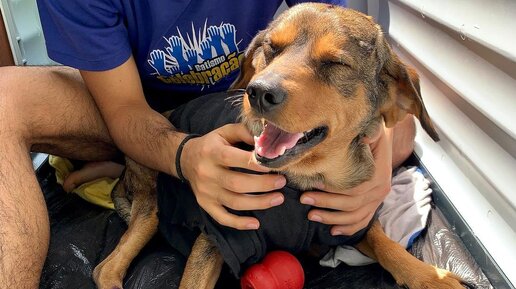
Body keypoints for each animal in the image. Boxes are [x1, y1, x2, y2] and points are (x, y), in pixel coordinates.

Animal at [91, 3, 464, 288]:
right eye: (271, 47)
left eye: (336, 63)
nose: (257, 92)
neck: (304, 178)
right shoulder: (219, 236)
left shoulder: (346, 223)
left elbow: (384, 243)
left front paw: (429, 276)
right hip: (152, 203)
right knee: (105, 268)